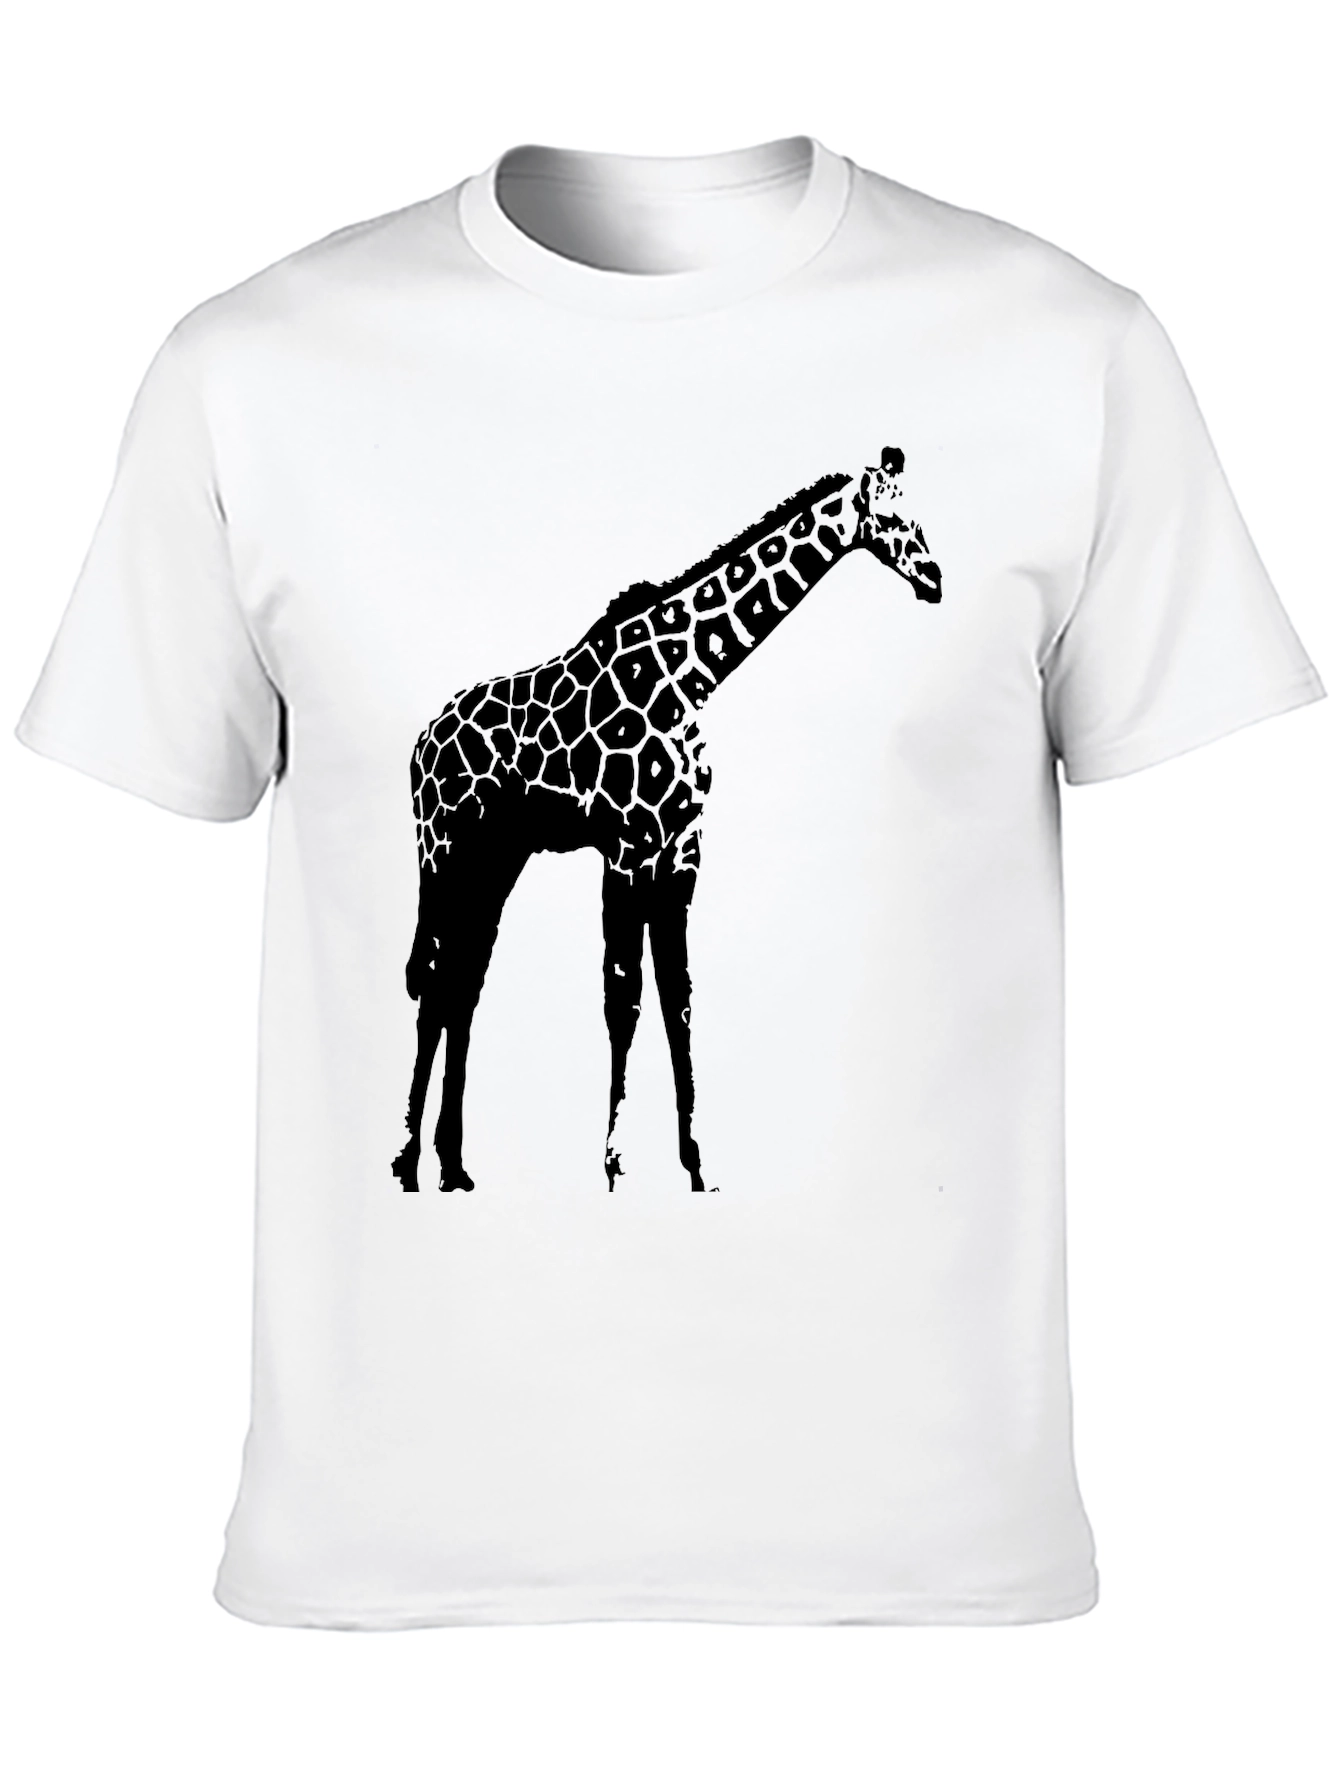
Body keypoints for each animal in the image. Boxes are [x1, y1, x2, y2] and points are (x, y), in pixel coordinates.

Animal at [392, 446, 943, 1195]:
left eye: (913, 509)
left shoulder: (680, 848)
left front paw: (696, 1163)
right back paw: (408, 1164)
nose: (935, 577)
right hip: (446, 850)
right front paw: (615, 1164)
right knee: (436, 984)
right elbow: (623, 998)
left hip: (496, 859)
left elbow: (677, 997)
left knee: (462, 984)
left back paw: (452, 1164)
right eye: (888, 517)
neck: (691, 677)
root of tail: (422, 742)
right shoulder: (627, 845)